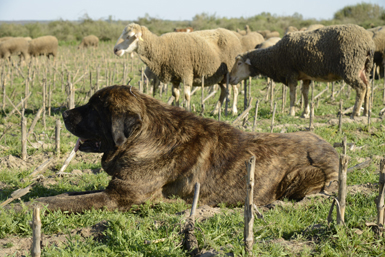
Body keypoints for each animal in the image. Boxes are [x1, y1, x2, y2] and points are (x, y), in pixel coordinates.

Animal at [112, 22, 243, 113]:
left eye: (129, 36)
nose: (115, 50)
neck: (161, 48)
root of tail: (233, 34)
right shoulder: (175, 77)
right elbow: (176, 95)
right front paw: (178, 108)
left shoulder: (186, 73)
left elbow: (187, 95)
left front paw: (189, 111)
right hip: (220, 76)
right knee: (224, 91)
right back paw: (216, 110)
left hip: (232, 72)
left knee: (235, 90)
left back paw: (234, 111)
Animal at [230, 23, 374, 117]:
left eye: (239, 63)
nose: (230, 78)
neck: (274, 57)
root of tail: (368, 43)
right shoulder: (306, 76)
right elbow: (305, 93)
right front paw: (305, 112)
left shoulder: (291, 74)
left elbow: (292, 95)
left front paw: (291, 112)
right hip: (364, 68)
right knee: (368, 87)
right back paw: (366, 112)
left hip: (351, 68)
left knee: (361, 88)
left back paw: (355, 113)